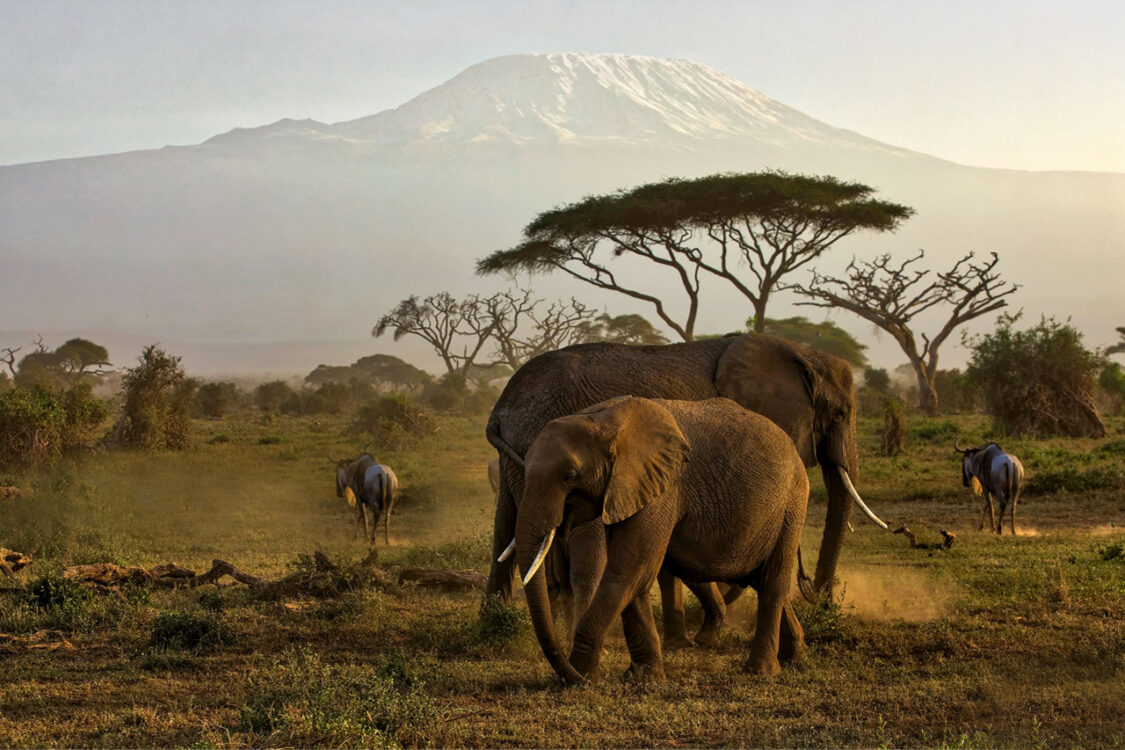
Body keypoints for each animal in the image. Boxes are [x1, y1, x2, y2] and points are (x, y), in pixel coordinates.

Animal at [488, 335, 882, 629]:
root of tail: (499, 407)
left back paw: (494, 624)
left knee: (507, 530)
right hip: (535, 442)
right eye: (840, 413)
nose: (816, 593)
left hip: (518, 457)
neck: (802, 354)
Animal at [515, 395, 814, 683]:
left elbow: (628, 571)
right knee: (758, 578)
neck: (603, 418)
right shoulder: (627, 490)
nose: (568, 676)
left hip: (792, 505)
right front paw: (643, 678)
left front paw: (582, 676)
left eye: (570, 476)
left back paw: (761, 671)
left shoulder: (662, 490)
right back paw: (795, 658)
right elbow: (635, 577)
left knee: (772, 583)